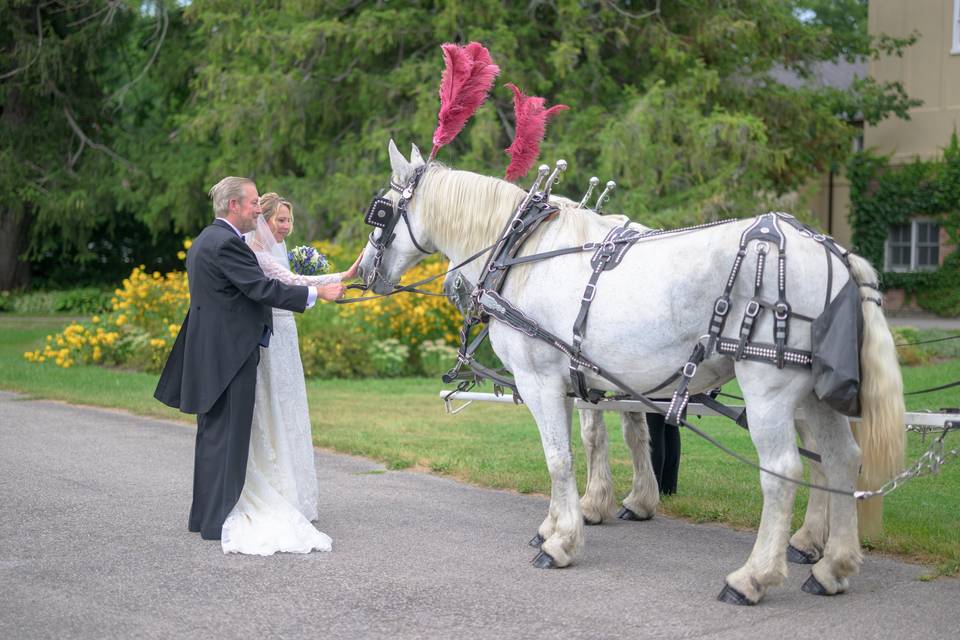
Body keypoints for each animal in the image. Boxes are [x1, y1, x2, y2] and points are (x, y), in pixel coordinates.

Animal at [362, 141, 908, 604]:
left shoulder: (541, 381)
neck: (520, 250)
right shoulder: (573, 380)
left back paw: (754, 577)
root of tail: (836, 255)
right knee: (840, 460)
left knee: (785, 472)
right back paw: (832, 566)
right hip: (814, 394)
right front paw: (560, 522)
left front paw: (563, 541)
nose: (364, 271)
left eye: (381, 211)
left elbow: (559, 457)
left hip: (769, 390)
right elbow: (591, 443)